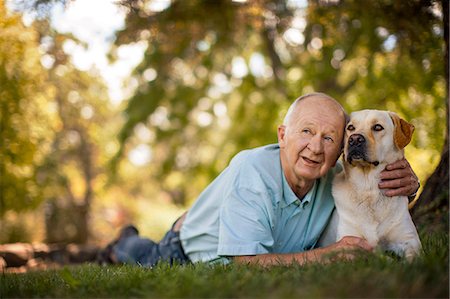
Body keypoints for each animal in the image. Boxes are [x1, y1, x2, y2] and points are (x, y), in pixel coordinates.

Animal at [320, 109, 422, 260]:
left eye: (378, 127)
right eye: (350, 128)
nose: (354, 139)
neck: (368, 188)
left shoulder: (410, 240)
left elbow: (414, 258)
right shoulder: (349, 241)